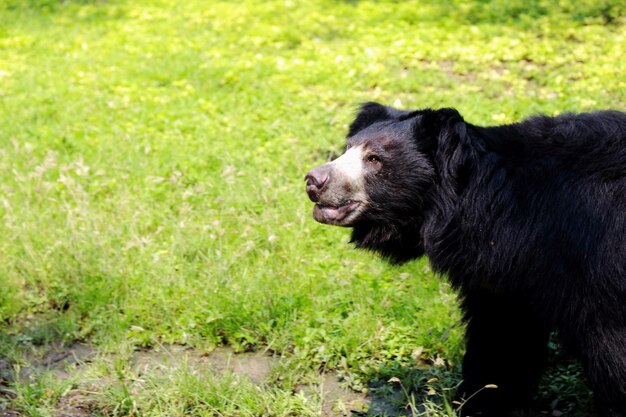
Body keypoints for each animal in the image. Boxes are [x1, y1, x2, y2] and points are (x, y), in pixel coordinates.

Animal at [304, 101, 624, 416]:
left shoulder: (595, 261)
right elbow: (502, 335)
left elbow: (612, 349)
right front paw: (477, 402)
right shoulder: (509, 276)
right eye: (347, 148)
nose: (313, 181)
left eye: (374, 159)